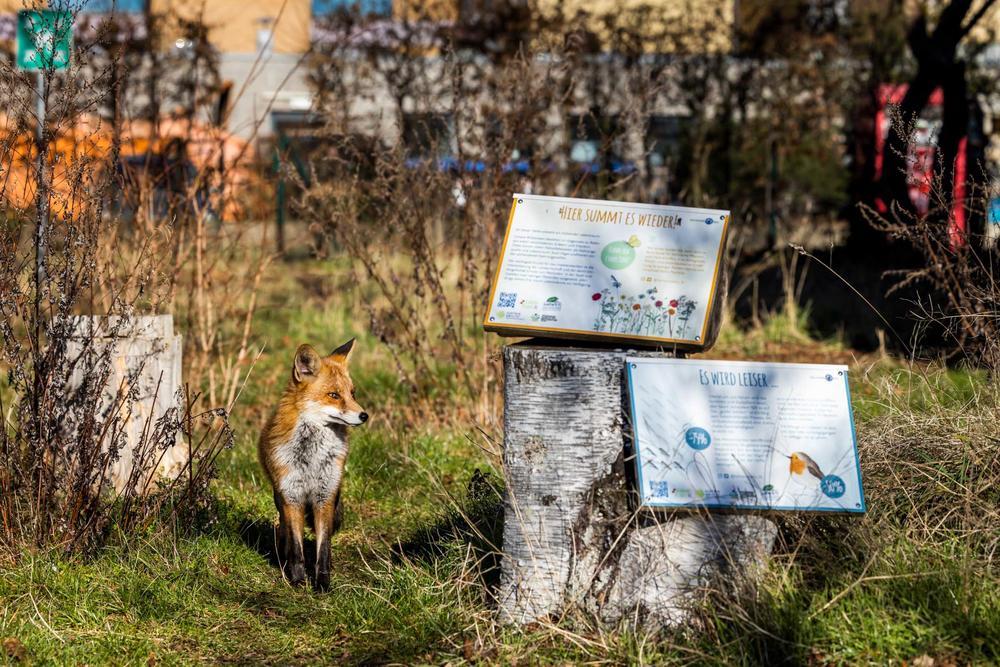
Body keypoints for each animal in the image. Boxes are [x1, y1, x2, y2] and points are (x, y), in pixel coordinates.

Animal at [258, 340, 368, 588]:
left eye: (352, 393)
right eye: (333, 395)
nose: (364, 416)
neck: (312, 460)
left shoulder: (324, 496)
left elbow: (323, 548)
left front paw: (322, 583)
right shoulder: (292, 496)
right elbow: (297, 548)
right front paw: (298, 580)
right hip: (279, 497)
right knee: (284, 530)